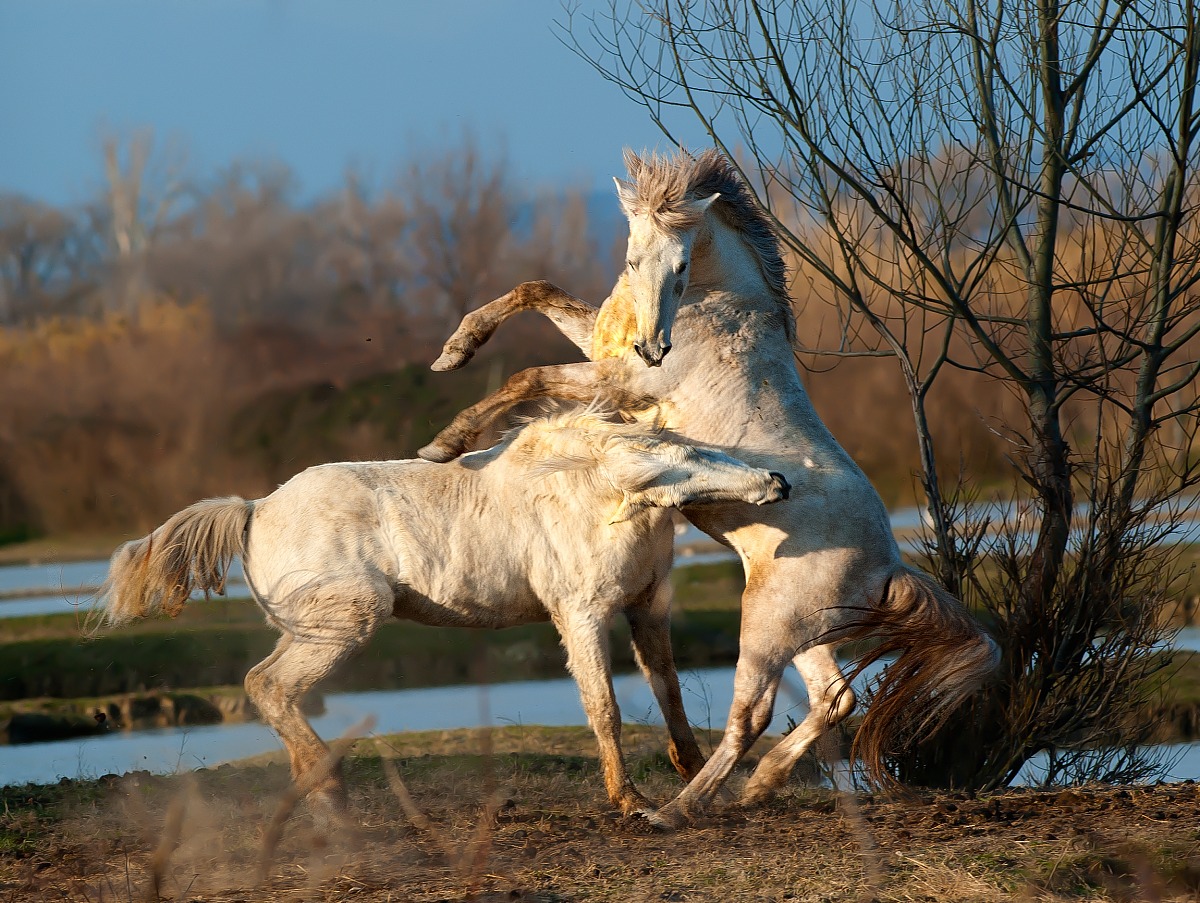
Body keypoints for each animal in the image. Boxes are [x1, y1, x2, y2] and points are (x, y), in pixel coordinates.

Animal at [99, 410, 790, 817]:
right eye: (686, 459)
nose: (777, 482)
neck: (589, 494)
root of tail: (255, 509)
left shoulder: (647, 610)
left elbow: (668, 693)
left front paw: (696, 776)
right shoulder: (582, 615)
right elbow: (605, 706)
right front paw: (628, 800)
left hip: (315, 627)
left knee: (270, 688)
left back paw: (314, 791)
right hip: (347, 620)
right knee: (267, 685)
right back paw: (328, 787)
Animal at [417, 149, 1000, 829]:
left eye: (682, 263)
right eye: (631, 258)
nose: (653, 346)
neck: (719, 306)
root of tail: (887, 566)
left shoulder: (620, 382)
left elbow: (528, 375)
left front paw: (443, 444)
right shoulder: (603, 350)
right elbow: (535, 291)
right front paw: (454, 353)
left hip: (767, 625)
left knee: (753, 716)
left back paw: (675, 810)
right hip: (802, 630)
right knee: (835, 699)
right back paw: (755, 789)